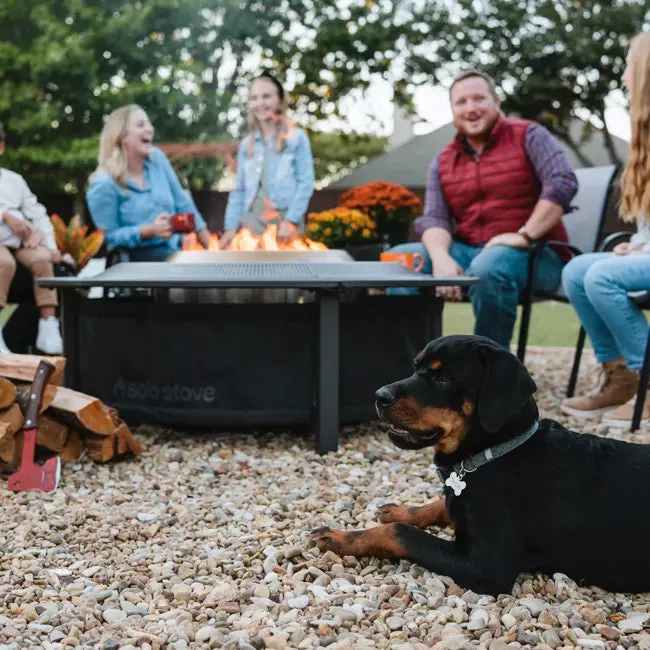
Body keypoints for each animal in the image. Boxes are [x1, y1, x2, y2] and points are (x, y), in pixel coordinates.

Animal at [308, 334, 648, 592]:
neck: (496, 451)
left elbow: (400, 533)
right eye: (416, 367)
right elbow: (443, 502)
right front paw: (402, 509)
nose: (380, 396)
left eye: (443, 377)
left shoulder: (486, 566)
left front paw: (340, 537)